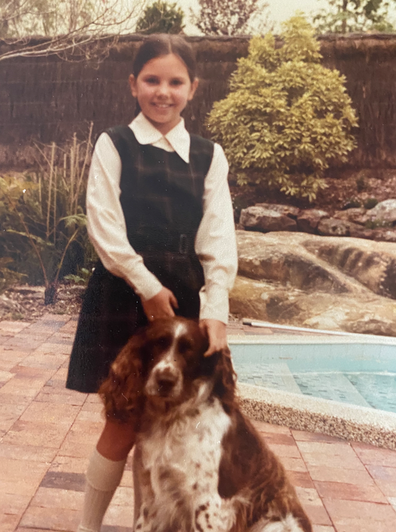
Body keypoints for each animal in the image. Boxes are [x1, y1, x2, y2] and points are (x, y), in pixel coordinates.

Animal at [99, 318, 312, 528]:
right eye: (158, 343)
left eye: (189, 350)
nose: (165, 381)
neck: (172, 418)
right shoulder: (151, 498)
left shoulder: (208, 503)